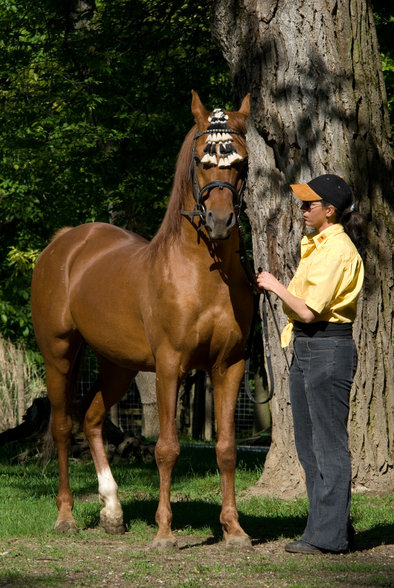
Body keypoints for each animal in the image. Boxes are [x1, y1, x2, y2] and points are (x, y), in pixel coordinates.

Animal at [30, 92, 252, 552]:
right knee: (62, 427)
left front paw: (234, 529)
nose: (221, 222)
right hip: (59, 355)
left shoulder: (229, 365)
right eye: (202, 161)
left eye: (240, 162)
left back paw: (112, 511)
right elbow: (166, 448)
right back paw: (66, 516)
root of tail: (64, 242)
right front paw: (165, 533)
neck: (204, 275)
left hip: (118, 365)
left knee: (92, 418)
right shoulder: (169, 366)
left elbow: (226, 448)